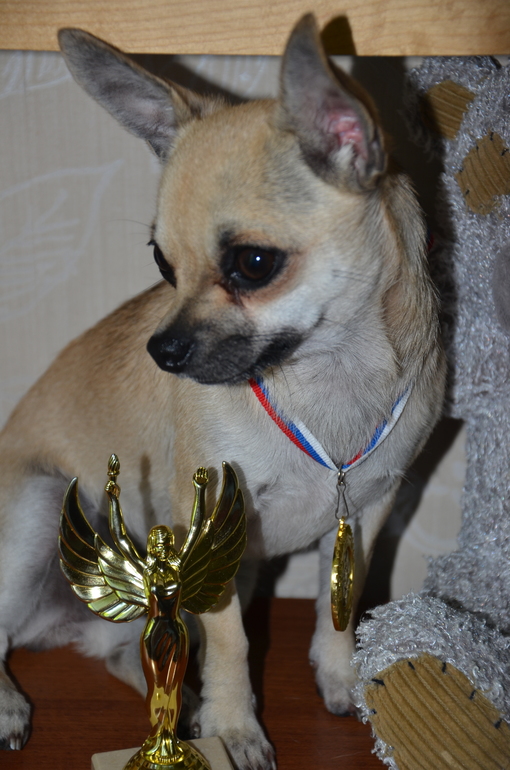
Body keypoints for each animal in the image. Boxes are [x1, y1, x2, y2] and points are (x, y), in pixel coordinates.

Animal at [0, 15, 445, 769]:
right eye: (161, 263)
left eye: (253, 264)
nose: (163, 350)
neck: (323, 377)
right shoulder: (209, 533)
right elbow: (235, 641)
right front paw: (237, 728)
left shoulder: (369, 510)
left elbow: (342, 604)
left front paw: (338, 677)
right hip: (37, 506)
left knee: (130, 652)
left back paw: (175, 705)